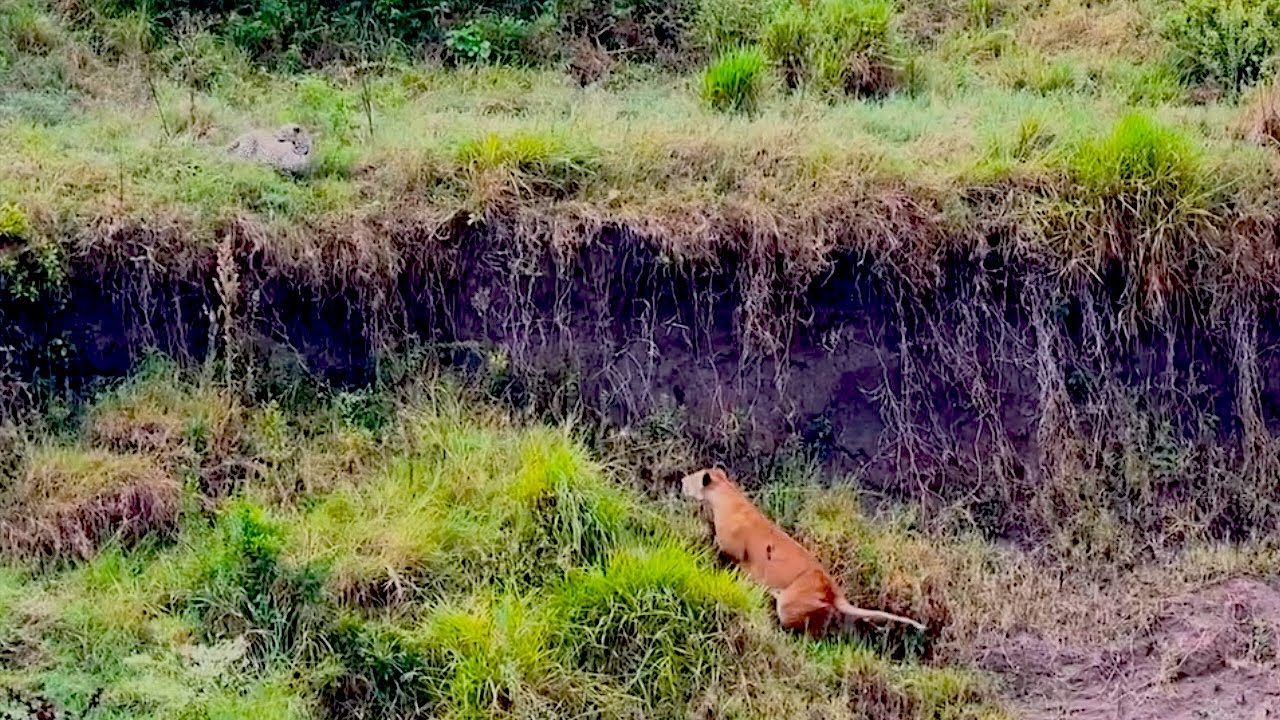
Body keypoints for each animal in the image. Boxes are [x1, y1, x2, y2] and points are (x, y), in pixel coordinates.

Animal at [681, 465, 925, 637]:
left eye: (691, 478)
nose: (681, 481)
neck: (725, 493)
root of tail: (833, 589)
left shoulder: (732, 550)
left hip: (789, 605)